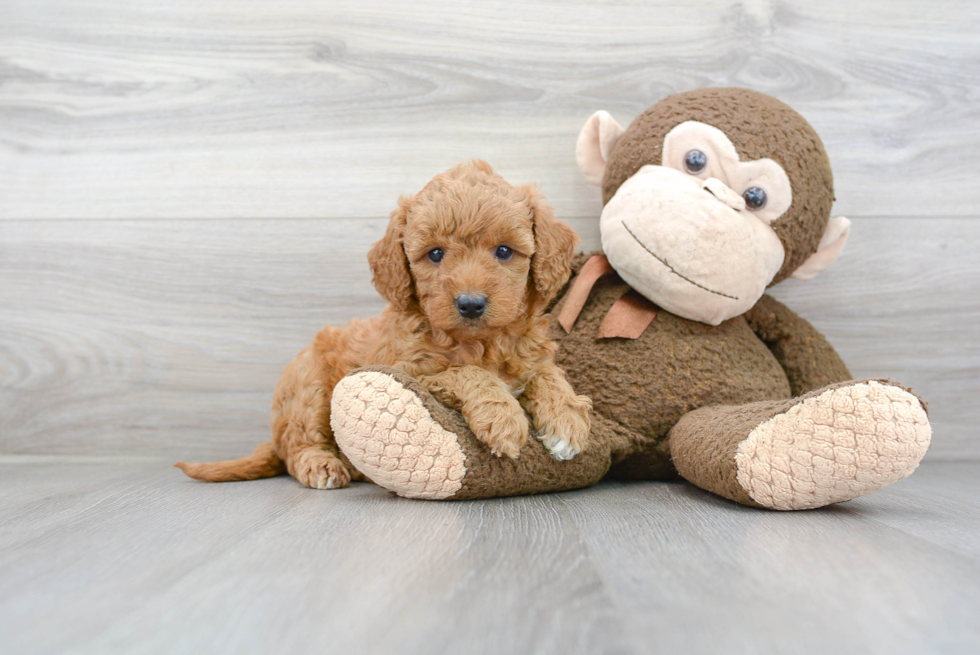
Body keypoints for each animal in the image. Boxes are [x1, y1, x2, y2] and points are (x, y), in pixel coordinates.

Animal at [175, 161, 588, 490]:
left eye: (504, 251)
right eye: (435, 254)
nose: (470, 304)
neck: (480, 342)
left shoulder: (530, 355)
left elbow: (547, 374)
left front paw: (566, 420)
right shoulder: (411, 370)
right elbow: (468, 373)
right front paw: (503, 417)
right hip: (308, 387)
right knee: (299, 444)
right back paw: (322, 465)